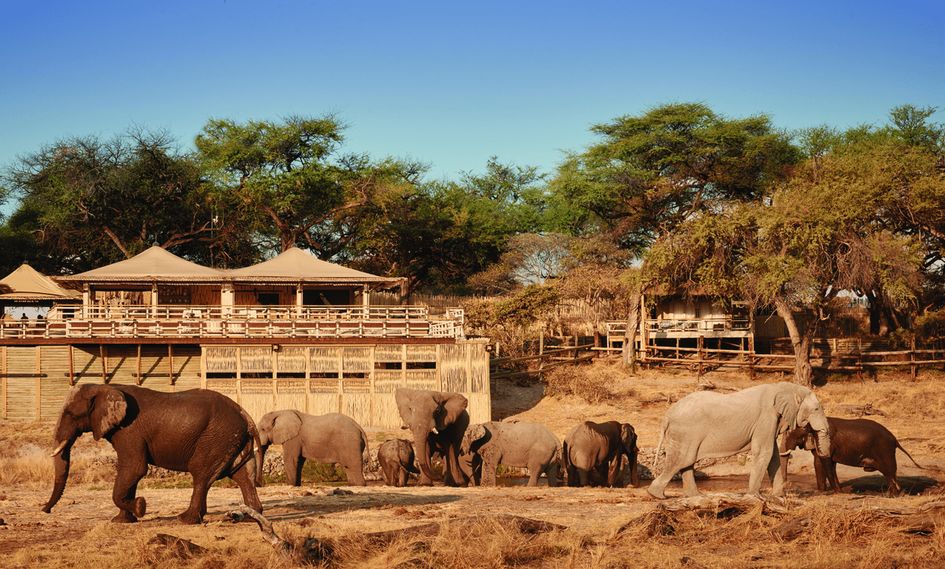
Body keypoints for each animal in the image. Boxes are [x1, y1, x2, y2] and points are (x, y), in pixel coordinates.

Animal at [43, 384, 262, 524]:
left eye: (71, 414)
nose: (45, 510)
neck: (103, 387)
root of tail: (246, 415)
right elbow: (130, 473)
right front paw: (121, 521)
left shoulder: (129, 431)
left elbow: (134, 469)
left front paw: (140, 507)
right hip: (232, 440)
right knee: (243, 476)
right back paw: (251, 517)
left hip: (217, 437)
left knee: (201, 475)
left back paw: (184, 520)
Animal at [648, 382, 831, 499]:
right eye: (816, 409)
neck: (784, 387)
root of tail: (667, 415)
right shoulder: (766, 417)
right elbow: (764, 452)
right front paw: (754, 497)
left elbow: (773, 455)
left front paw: (779, 496)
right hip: (685, 432)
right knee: (682, 460)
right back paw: (657, 496)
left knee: (687, 462)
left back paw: (695, 496)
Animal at [780, 417, 922, 495]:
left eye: (790, 434)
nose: (787, 486)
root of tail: (895, 439)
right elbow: (823, 464)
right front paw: (825, 492)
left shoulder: (827, 441)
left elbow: (825, 463)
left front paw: (836, 492)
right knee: (890, 474)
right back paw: (892, 494)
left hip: (884, 450)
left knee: (889, 472)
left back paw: (894, 494)